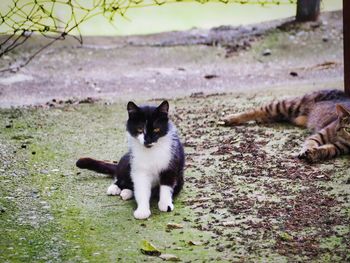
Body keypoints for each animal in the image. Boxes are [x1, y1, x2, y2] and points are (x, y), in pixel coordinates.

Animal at [221, 89, 350, 162]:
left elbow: (327, 150)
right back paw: (232, 118)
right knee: (258, 109)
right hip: (288, 105)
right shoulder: (321, 134)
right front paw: (307, 150)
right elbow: (311, 142)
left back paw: (261, 119)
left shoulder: (340, 147)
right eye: (348, 129)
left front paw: (314, 154)